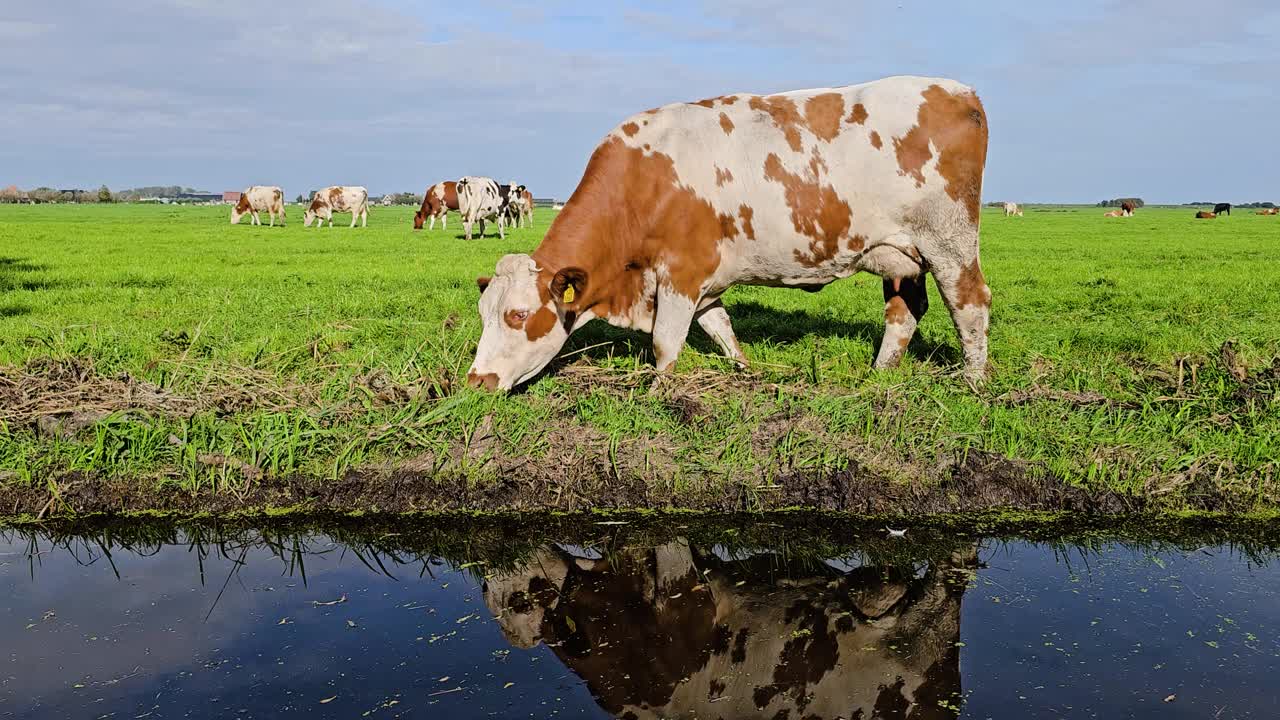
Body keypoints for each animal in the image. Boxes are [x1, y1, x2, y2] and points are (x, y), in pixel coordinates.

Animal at [468, 73, 988, 389]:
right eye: (483, 314)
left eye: (517, 315)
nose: (476, 381)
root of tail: (959, 91)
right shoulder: (705, 280)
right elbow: (720, 327)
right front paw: (744, 371)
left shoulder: (681, 272)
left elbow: (665, 343)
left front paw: (659, 393)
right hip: (900, 254)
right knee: (905, 311)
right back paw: (878, 377)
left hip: (949, 243)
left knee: (970, 303)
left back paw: (975, 382)